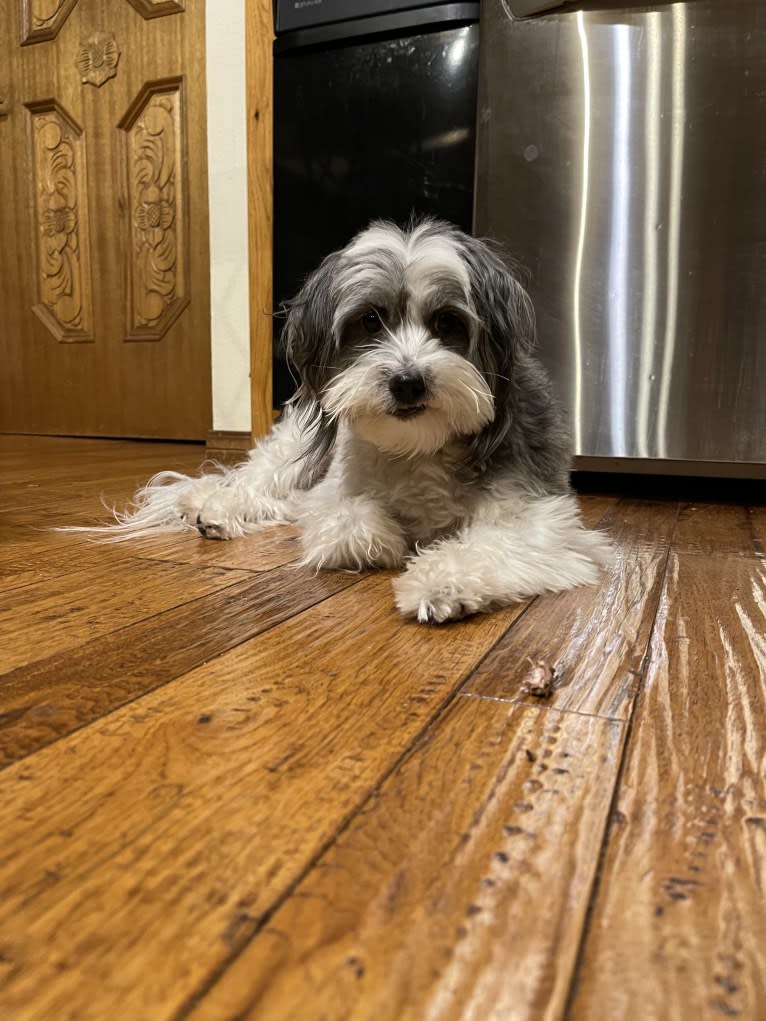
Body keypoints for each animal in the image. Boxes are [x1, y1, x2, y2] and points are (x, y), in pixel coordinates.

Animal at [100, 217, 612, 620]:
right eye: (369, 321)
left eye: (447, 322)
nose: (407, 382)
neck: (421, 445)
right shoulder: (335, 490)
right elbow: (350, 519)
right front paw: (387, 538)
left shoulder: (541, 515)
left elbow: (495, 543)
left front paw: (440, 581)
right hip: (292, 451)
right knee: (251, 481)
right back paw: (211, 506)